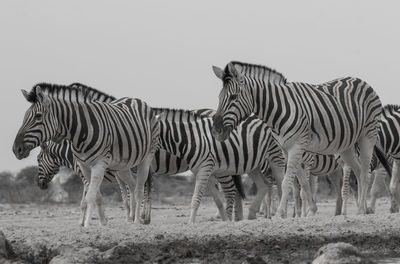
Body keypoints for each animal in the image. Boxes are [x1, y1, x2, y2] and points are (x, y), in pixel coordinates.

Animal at [12, 83, 160, 226]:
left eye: (38, 116)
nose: (15, 150)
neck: (80, 131)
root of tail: (136, 99)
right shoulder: (84, 166)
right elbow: (96, 196)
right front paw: (102, 222)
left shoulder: (97, 165)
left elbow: (89, 197)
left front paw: (86, 224)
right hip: (123, 166)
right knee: (133, 186)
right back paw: (132, 218)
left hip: (146, 157)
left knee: (140, 189)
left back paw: (137, 220)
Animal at [152, 108, 286, 224]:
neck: (190, 139)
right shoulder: (203, 171)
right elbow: (218, 200)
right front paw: (225, 220)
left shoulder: (205, 168)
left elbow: (196, 198)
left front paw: (191, 223)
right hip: (253, 164)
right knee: (264, 185)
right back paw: (251, 214)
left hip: (274, 155)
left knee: (280, 182)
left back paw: (281, 215)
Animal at [212, 61, 390, 217]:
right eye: (219, 97)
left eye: (234, 97)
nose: (216, 130)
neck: (279, 109)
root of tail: (362, 81)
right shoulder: (287, 150)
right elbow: (303, 184)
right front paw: (311, 211)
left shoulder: (297, 147)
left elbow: (286, 182)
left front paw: (280, 214)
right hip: (346, 146)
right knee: (358, 171)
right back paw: (363, 209)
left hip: (368, 135)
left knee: (365, 173)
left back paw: (360, 210)